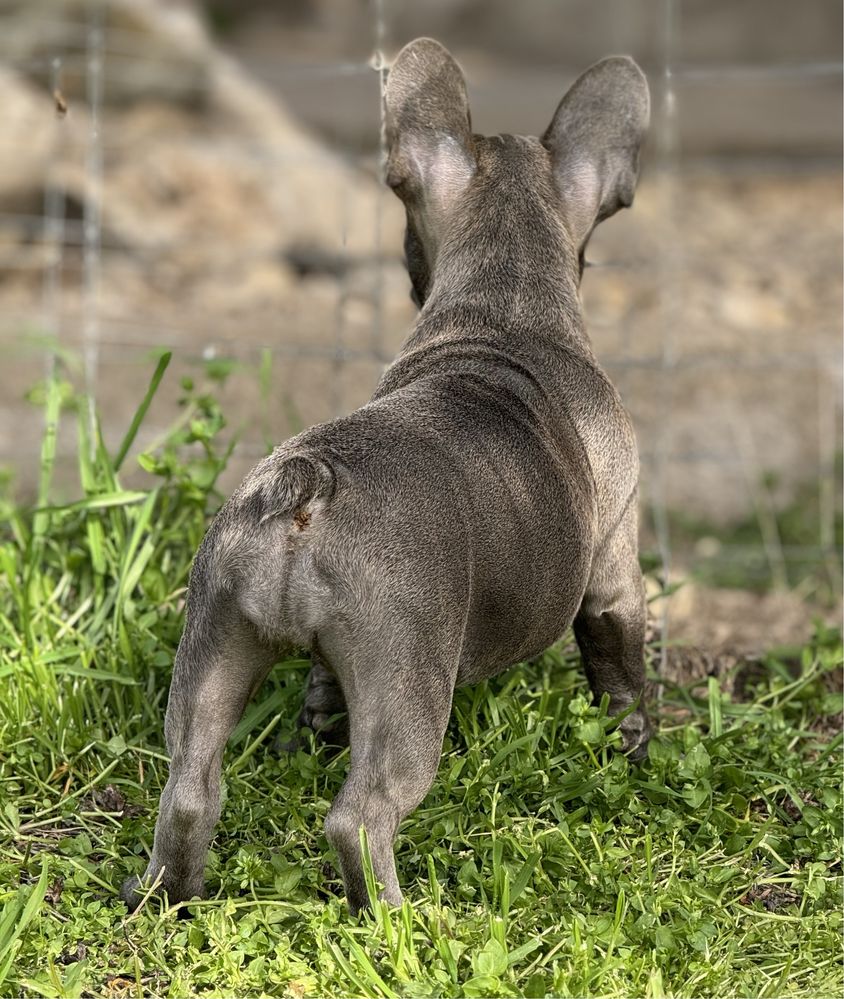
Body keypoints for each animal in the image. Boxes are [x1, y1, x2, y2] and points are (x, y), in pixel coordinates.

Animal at [122, 37, 652, 916]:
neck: (503, 300)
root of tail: (306, 486)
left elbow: (321, 695)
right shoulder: (613, 568)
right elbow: (623, 670)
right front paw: (637, 752)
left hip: (216, 637)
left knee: (191, 785)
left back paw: (166, 893)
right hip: (409, 680)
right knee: (362, 814)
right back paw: (402, 922)